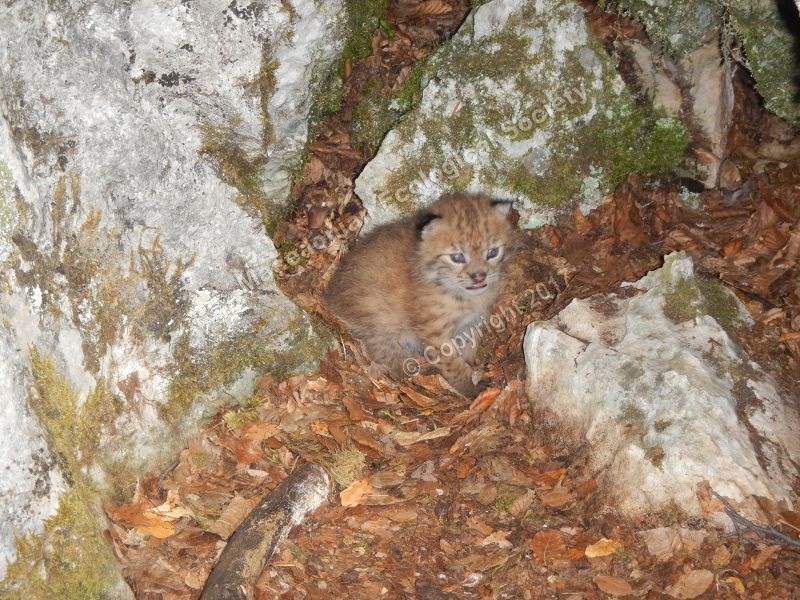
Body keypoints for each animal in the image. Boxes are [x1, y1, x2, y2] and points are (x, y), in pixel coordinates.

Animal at [324, 195, 512, 396]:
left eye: (492, 252)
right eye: (457, 257)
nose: (479, 276)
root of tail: (329, 294)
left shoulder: (473, 321)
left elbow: (470, 346)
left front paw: (473, 366)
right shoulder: (434, 334)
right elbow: (454, 366)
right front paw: (471, 391)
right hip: (380, 318)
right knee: (385, 354)